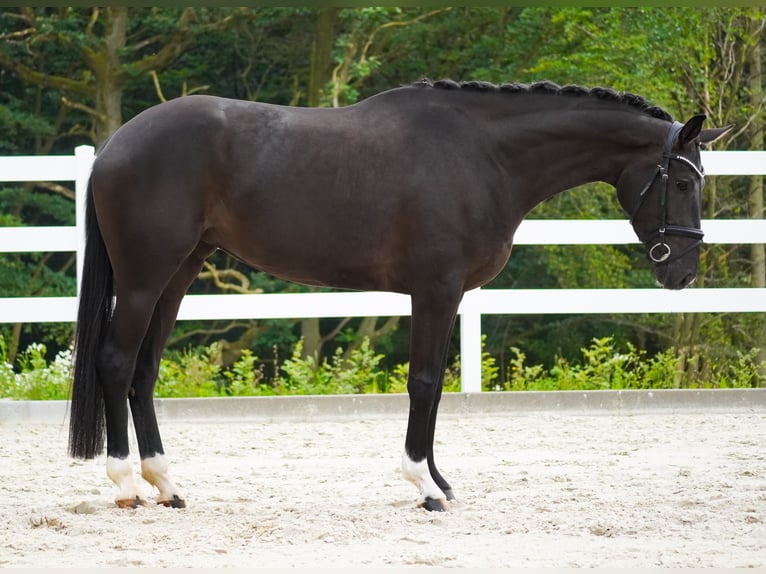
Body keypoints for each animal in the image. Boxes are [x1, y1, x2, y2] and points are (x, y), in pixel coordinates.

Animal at [70, 80, 732, 512]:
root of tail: (114, 146)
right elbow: (424, 382)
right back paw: (125, 485)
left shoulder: (450, 294)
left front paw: (440, 480)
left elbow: (434, 385)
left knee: (145, 371)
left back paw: (166, 484)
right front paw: (426, 487)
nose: (683, 272)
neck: (481, 156)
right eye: (680, 181)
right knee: (117, 362)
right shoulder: (435, 288)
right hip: (145, 276)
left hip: (179, 273)